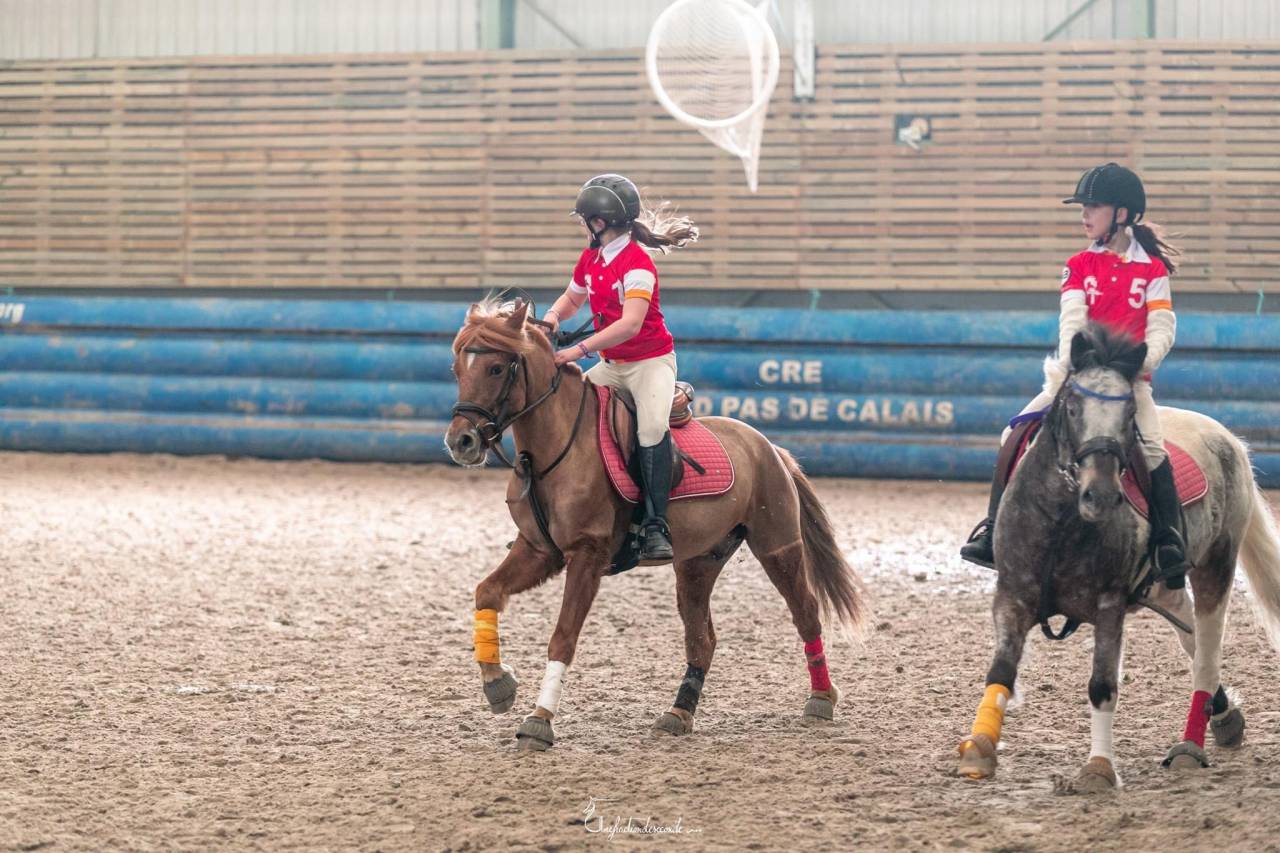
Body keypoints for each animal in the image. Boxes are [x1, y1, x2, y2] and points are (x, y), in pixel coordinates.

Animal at [444, 297, 866, 751]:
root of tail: (768, 446)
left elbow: (563, 637)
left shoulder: (587, 555)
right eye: (457, 369)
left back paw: (821, 698)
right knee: (702, 639)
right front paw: (498, 684)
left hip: (778, 546)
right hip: (698, 563)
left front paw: (539, 720)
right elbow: (487, 592)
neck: (553, 450)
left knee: (805, 613)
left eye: (496, 368)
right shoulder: (538, 550)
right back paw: (679, 712)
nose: (461, 442)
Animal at [955, 323, 1280, 791]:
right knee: (1190, 635)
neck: (1063, 521)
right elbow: (1000, 671)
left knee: (1206, 651)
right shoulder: (1012, 595)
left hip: (1217, 565)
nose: (1102, 495)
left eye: (1128, 416)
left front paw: (1098, 768)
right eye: (1072, 408)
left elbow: (1102, 686)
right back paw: (1224, 718)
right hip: (1163, 587)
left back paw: (1190, 746)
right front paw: (979, 750)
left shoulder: (1109, 605)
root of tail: (1230, 439)